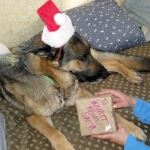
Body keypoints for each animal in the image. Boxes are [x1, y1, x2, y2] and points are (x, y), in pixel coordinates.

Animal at [0, 31, 149, 150]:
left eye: (87, 53)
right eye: (82, 57)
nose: (106, 74)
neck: (51, 78)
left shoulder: (81, 93)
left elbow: (114, 113)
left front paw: (131, 127)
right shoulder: (35, 117)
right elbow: (55, 133)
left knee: (115, 62)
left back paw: (131, 75)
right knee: (113, 62)